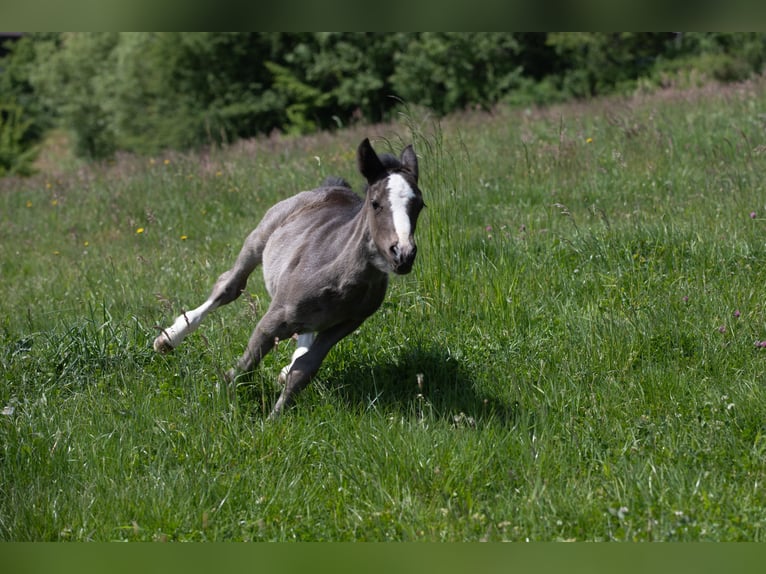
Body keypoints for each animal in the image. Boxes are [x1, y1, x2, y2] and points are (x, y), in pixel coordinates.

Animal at [153, 138, 424, 419]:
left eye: (419, 206)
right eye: (375, 203)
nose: (402, 254)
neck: (341, 280)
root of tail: (334, 187)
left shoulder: (346, 324)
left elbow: (305, 369)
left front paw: (274, 418)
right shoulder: (275, 316)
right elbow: (247, 362)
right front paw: (218, 398)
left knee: (302, 332)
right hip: (258, 239)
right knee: (228, 286)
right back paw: (168, 339)